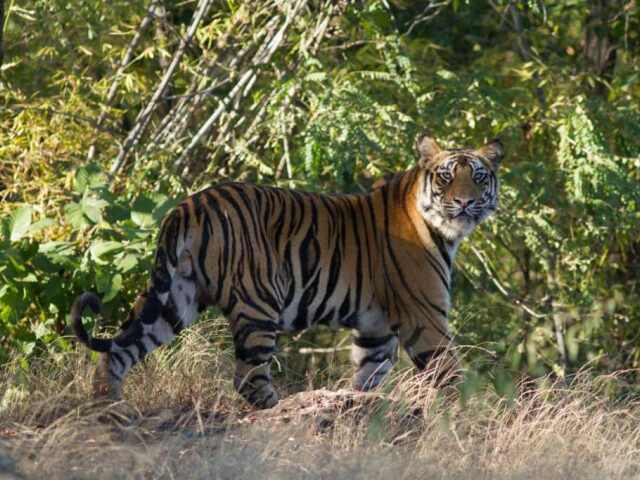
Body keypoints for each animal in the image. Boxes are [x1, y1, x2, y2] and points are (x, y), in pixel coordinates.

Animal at [71, 133, 504, 409]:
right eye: (447, 176)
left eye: (478, 176)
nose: (465, 203)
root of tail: (188, 205)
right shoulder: (424, 317)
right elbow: (451, 376)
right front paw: (469, 421)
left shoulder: (375, 330)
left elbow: (369, 377)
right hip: (258, 302)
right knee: (248, 378)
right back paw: (281, 411)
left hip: (174, 298)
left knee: (119, 352)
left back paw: (109, 410)